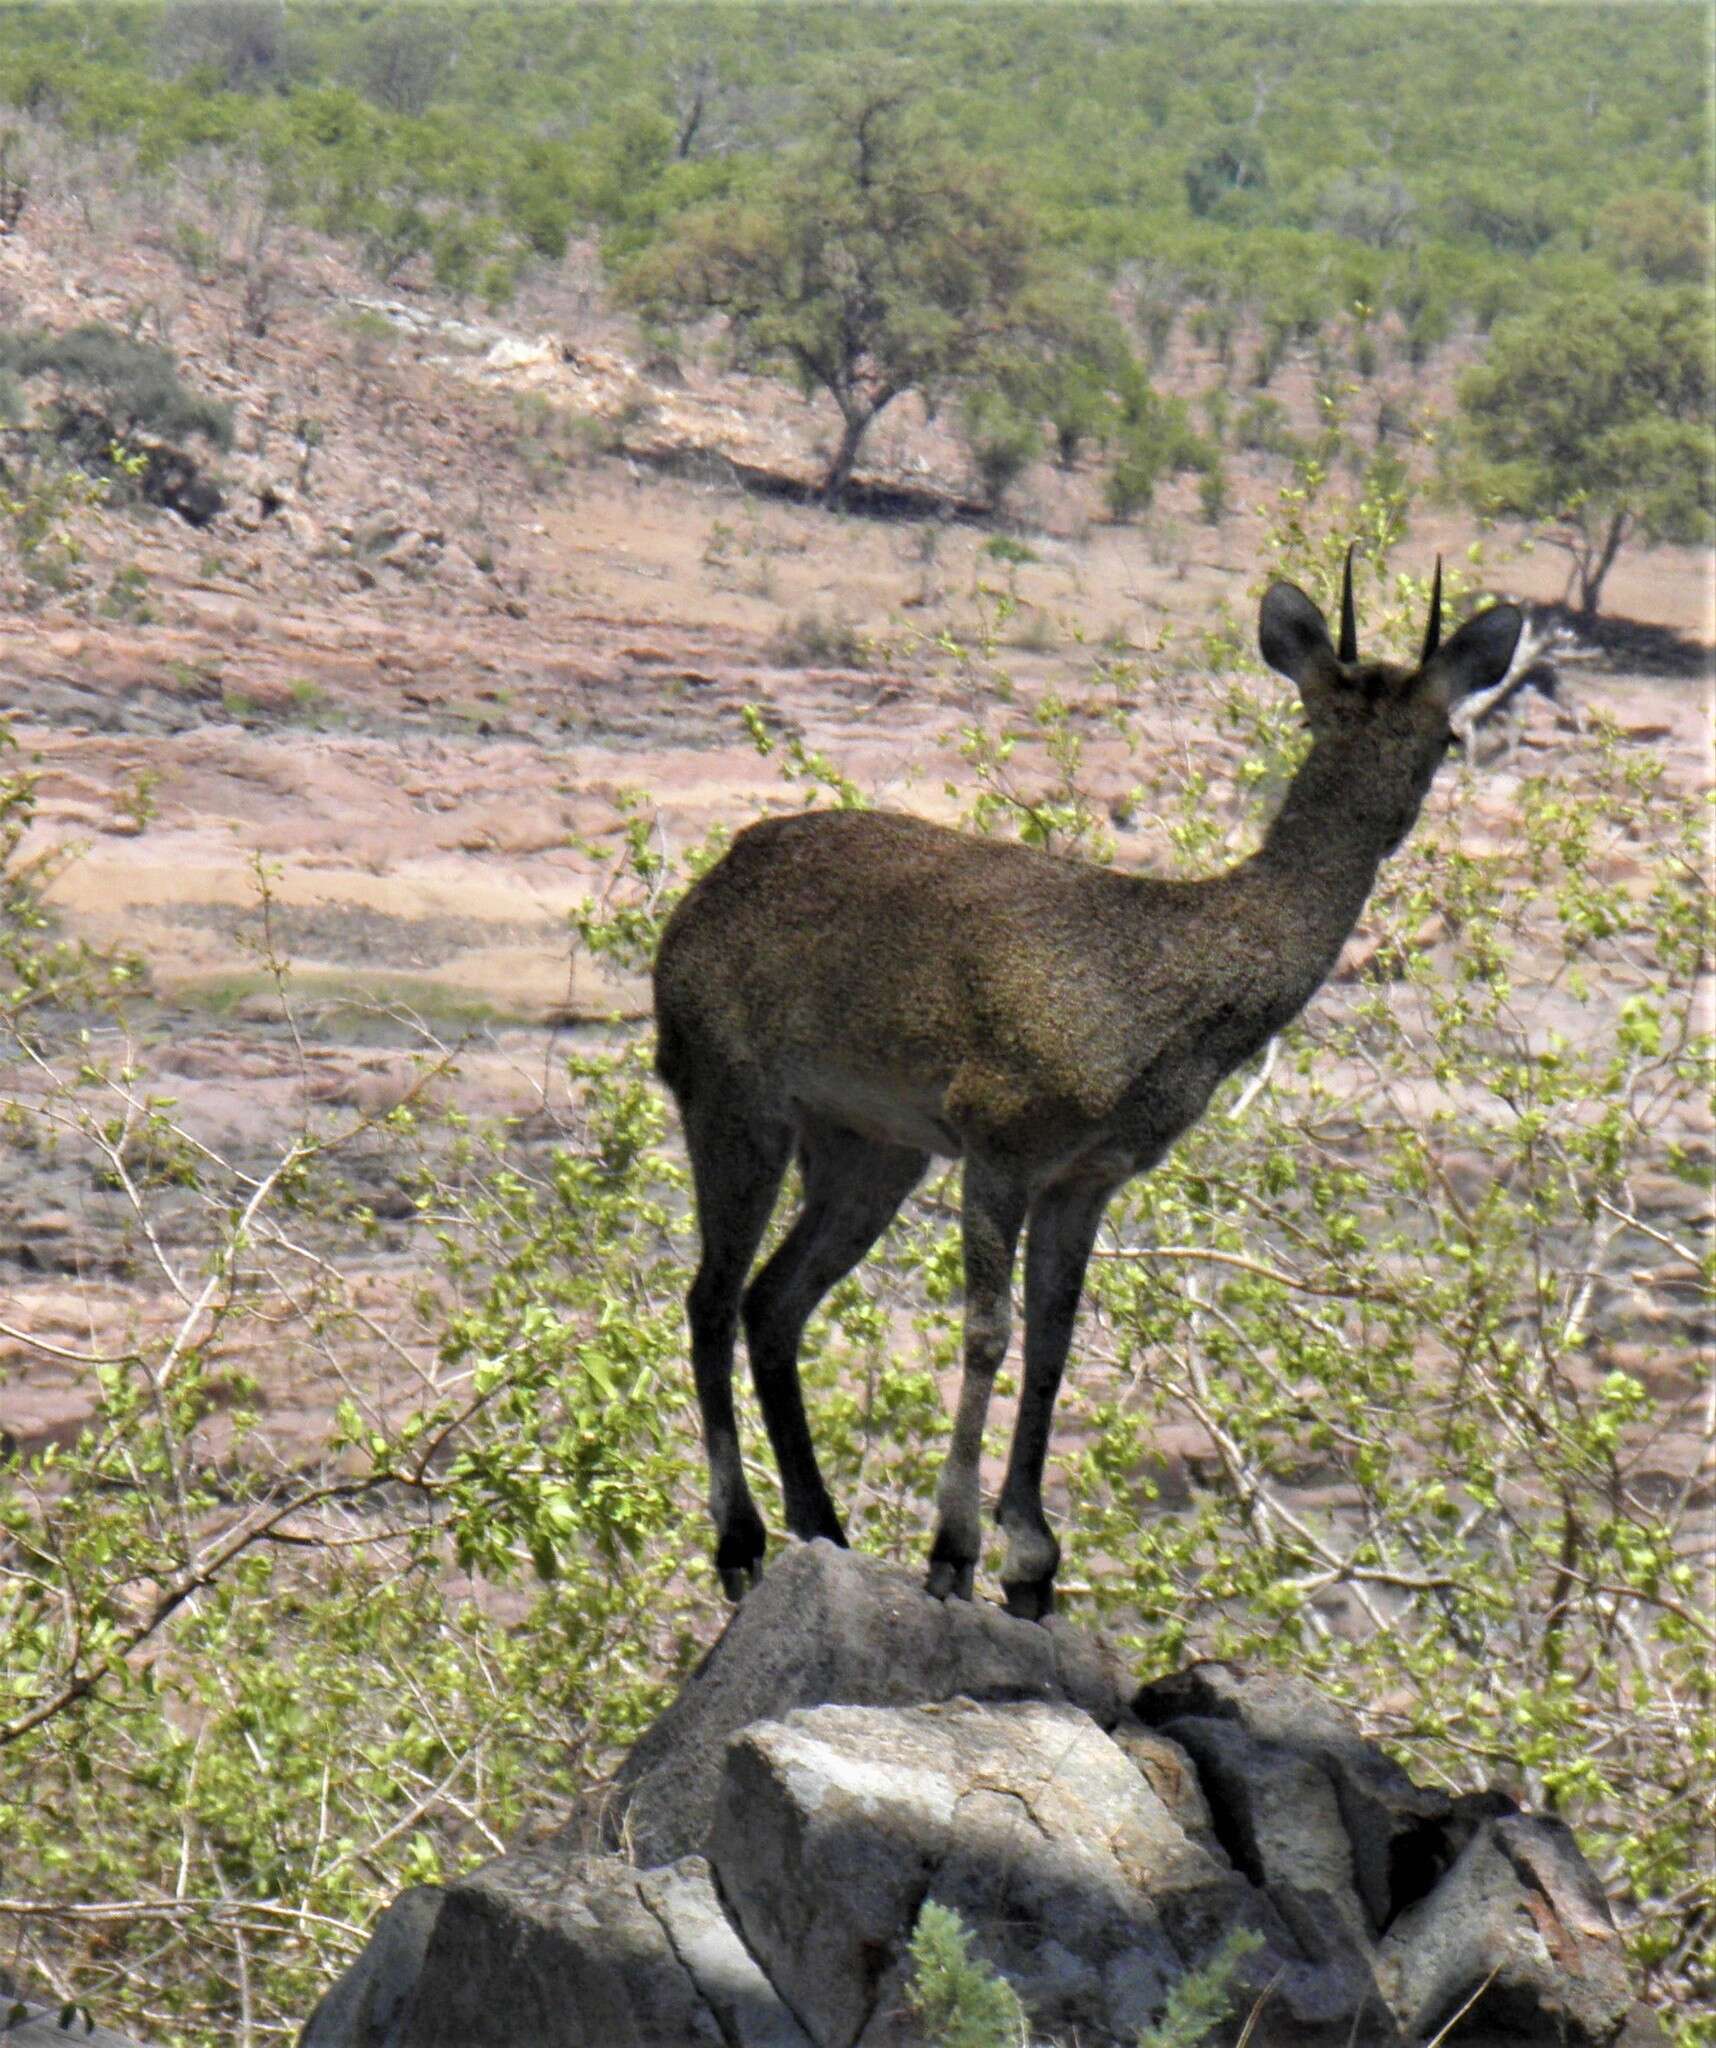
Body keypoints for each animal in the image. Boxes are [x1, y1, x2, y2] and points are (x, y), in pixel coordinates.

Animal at [659, 557, 1531, 1613]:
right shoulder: (1000, 1136)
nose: (1389, 817)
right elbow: (988, 1330)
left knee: (773, 1302)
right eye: (1317, 716)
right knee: (712, 1297)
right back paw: (739, 1542)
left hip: (871, 1146)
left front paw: (1032, 1562)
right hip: (732, 1095)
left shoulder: (1090, 1175)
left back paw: (822, 1526)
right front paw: (953, 1551)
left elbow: (1054, 1343)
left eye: (1442, 733)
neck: (1164, 990)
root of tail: (697, 899)